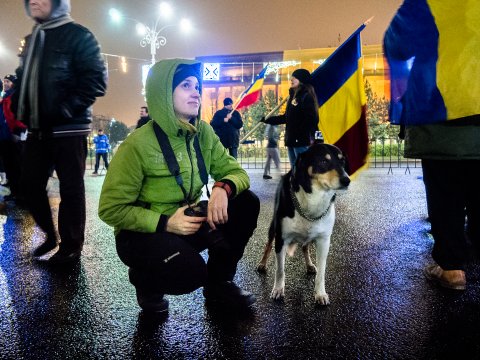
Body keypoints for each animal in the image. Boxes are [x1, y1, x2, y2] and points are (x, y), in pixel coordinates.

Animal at [256, 142, 350, 306]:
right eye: (323, 161)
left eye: (342, 161)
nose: (347, 180)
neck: (313, 200)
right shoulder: (281, 239)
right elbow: (280, 270)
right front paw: (278, 289)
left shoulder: (324, 241)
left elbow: (322, 272)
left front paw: (320, 294)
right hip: (273, 228)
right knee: (268, 245)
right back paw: (262, 263)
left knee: (305, 247)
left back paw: (310, 264)